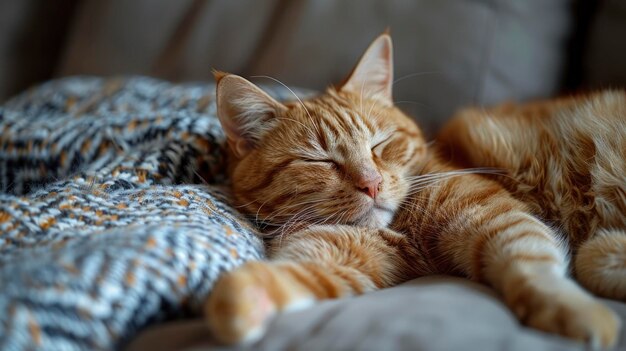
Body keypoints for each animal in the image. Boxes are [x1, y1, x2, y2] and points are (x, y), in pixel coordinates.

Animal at [206, 33, 624, 350]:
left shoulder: (495, 216)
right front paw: (240, 296)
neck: (402, 228)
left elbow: (530, 262)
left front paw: (575, 311)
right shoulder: (341, 255)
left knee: (588, 258)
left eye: (380, 144)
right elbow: (294, 273)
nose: (372, 183)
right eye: (319, 161)